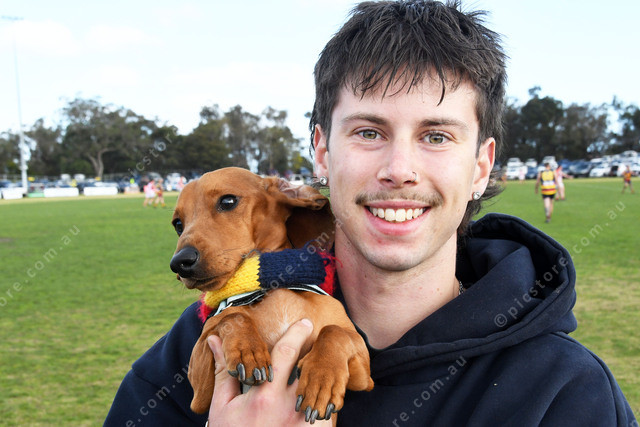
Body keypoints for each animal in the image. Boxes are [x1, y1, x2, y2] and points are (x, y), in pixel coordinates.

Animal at [169, 167, 373, 423]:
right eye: (178, 224)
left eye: (227, 201)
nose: (179, 263)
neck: (273, 286)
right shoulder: (200, 391)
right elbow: (230, 316)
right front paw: (247, 350)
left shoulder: (364, 374)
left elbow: (335, 332)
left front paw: (321, 377)